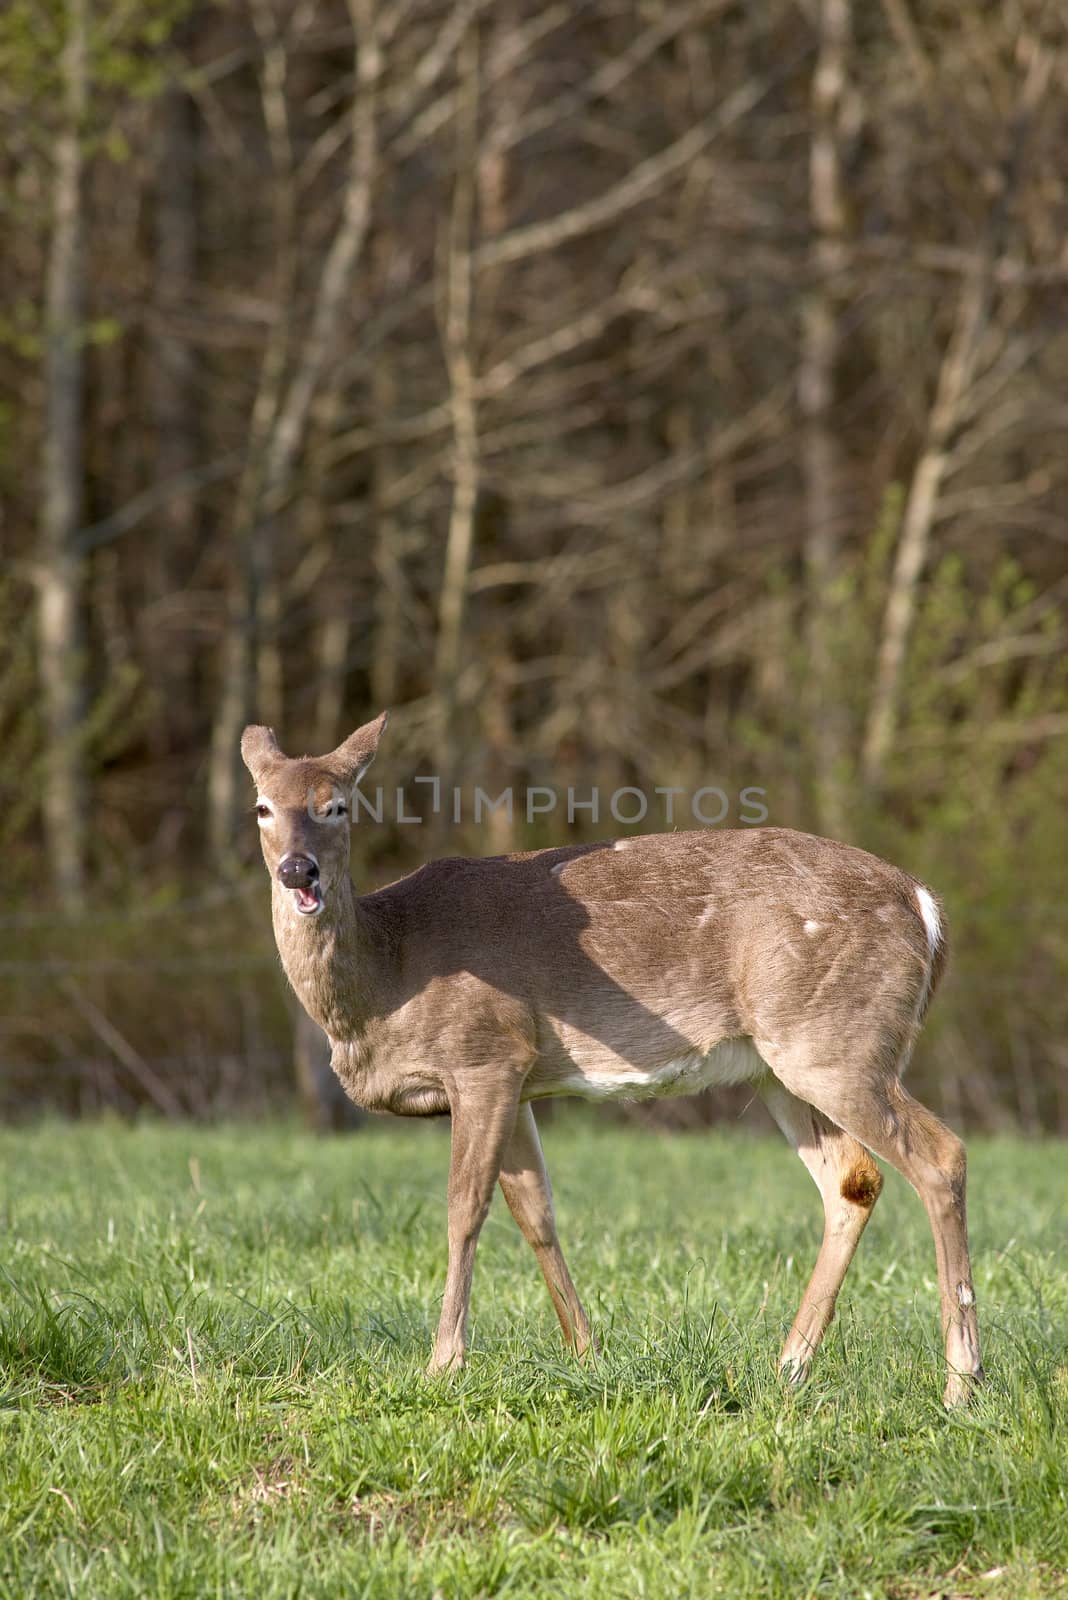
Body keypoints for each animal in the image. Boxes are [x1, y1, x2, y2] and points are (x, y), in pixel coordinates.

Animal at [241, 713, 984, 1401]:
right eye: (263, 806)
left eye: (337, 805)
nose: (298, 869)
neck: (386, 977)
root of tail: (925, 904)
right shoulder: (520, 1077)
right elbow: (536, 1213)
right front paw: (586, 1355)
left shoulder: (485, 1052)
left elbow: (464, 1206)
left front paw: (443, 1364)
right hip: (785, 1061)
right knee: (854, 1180)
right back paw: (790, 1366)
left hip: (838, 1041)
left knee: (940, 1156)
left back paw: (961, 1382)